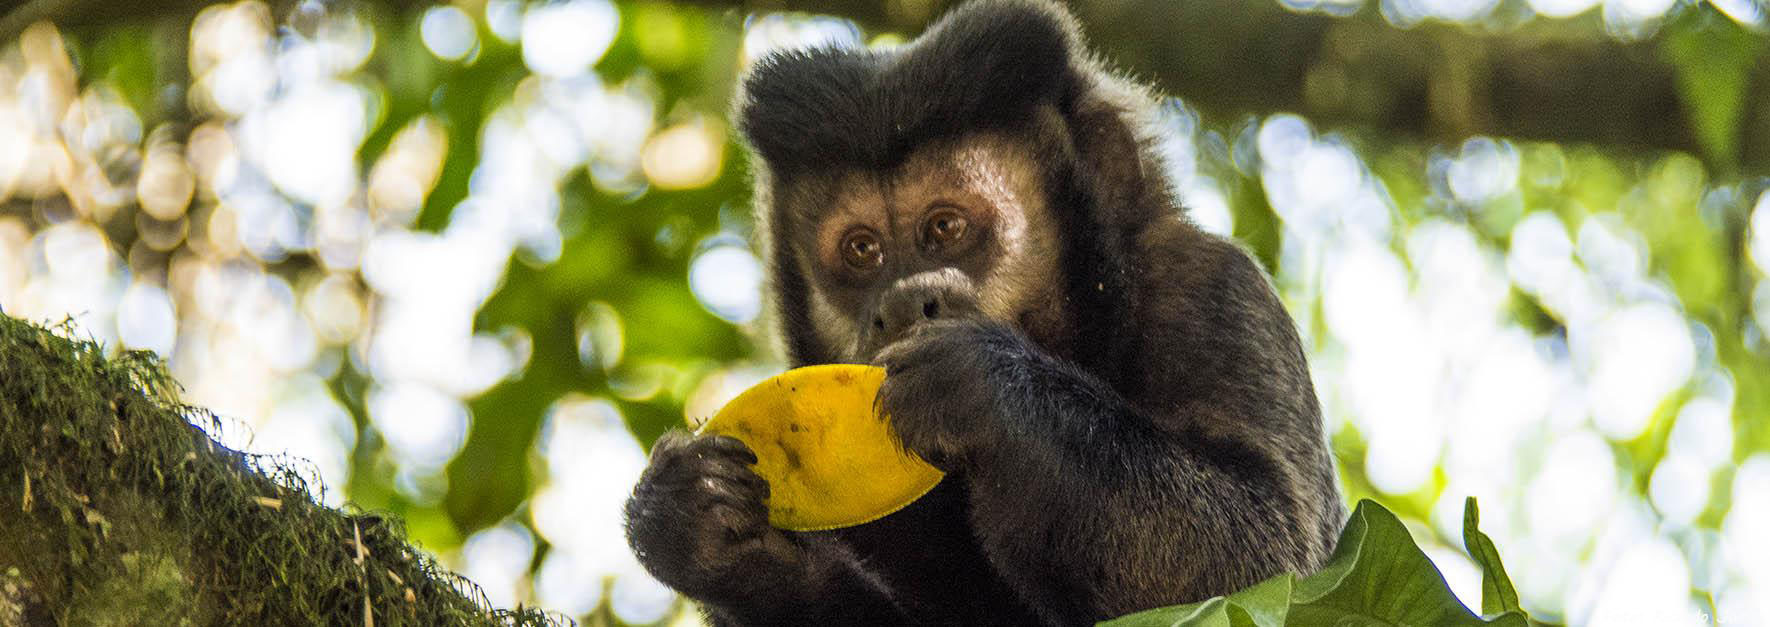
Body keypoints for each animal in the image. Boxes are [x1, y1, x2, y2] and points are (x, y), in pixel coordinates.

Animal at [623, 2, 1338, 623]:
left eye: (945, 228)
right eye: (862, 249)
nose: (902, 302)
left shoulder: (1215, 287)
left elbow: (1267, 562)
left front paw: (985, 389)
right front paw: (701, 530)